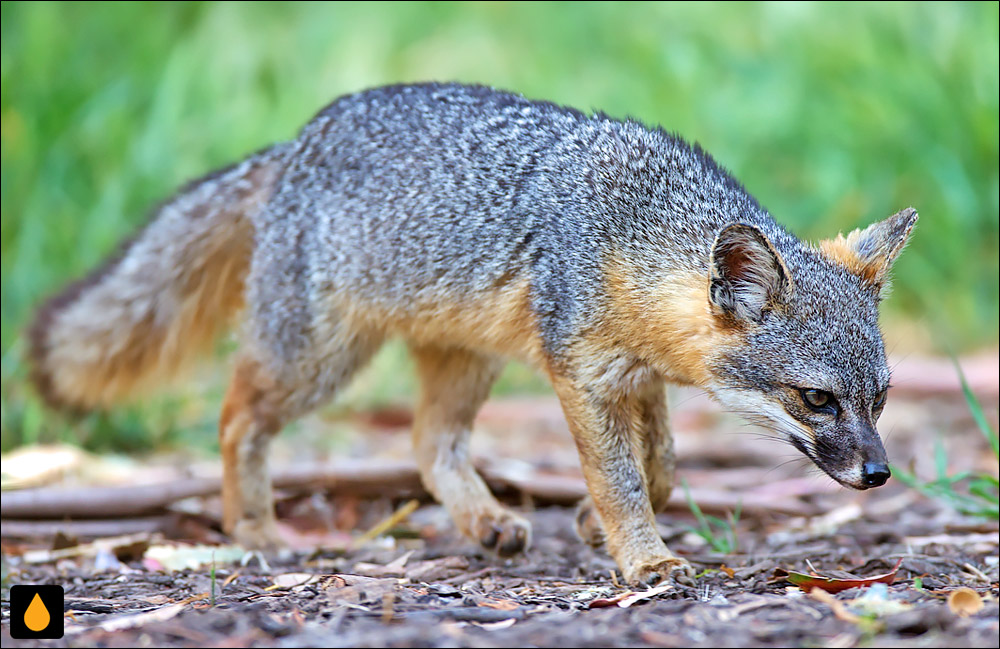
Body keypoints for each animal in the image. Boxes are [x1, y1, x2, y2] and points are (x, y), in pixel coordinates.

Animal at [25, 82, 916, 588]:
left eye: (880, 397)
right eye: (816, 399)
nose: (879, 473)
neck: (635, 228)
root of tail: (294, 144)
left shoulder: (635, 377)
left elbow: (660, 467)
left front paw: (592, 525)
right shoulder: (583, 374)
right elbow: (625, 479)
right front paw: (644, 559)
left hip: (466, 362)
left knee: (428, 442)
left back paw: (483, 520)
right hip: (319, 361)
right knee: (238, 413)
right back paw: (255, 528)